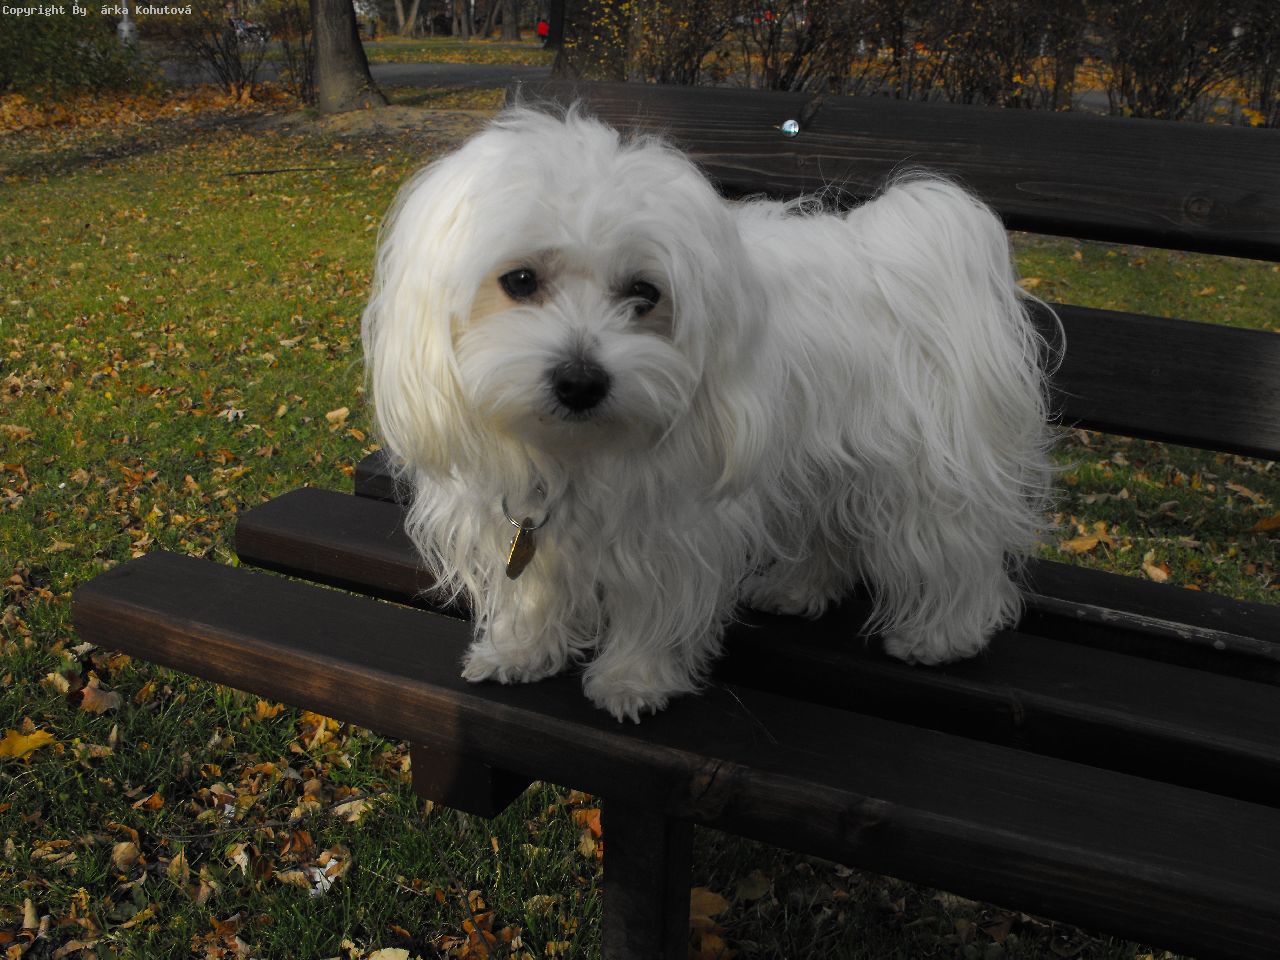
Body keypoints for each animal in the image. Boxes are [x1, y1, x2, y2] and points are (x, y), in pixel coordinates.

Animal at [362, 105, 1055, 723]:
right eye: (521, 280)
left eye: (645, 294)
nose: (581, 382)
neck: (577, 450)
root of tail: (892, 250)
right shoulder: (523, 516)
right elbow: (533, 584)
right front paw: (521, 649)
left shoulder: (674, 520)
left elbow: (658, 600)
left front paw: (633, 680)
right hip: (824, 460)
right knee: (830, 530)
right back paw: (797, 590)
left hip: (922, 468)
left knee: (953, 546)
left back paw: (942, 635)